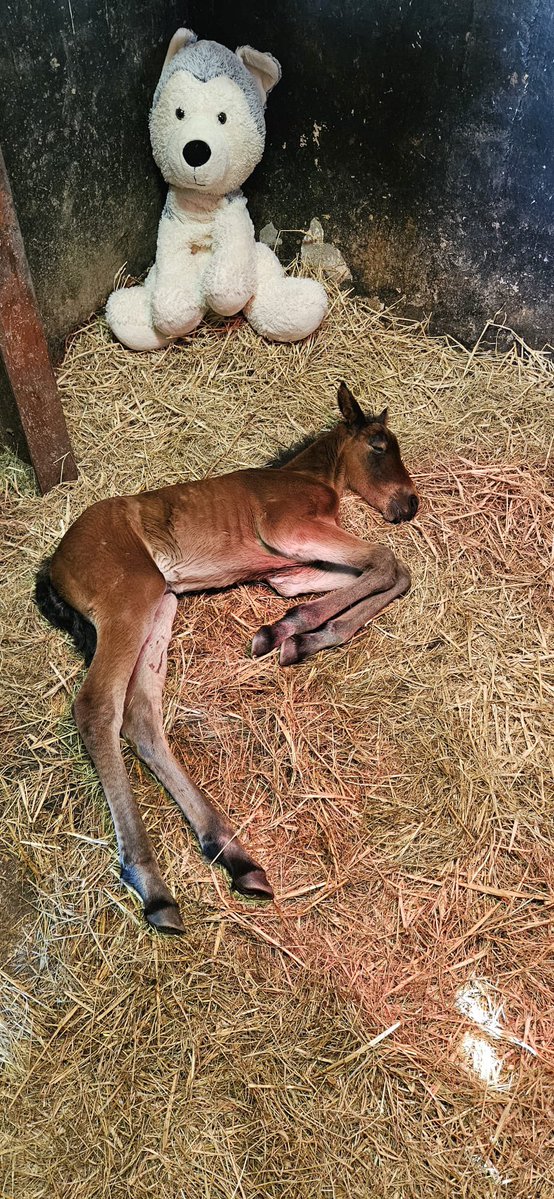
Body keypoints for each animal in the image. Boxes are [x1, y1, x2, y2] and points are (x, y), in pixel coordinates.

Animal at [35, 383, 419, 933]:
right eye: (380, 446)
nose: (408, 504)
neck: (305, 476)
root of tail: (53, 565)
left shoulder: (288, 573)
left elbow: (387, 575)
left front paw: (292, 632)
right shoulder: (288, 529)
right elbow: (388, 561)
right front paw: (288, 633)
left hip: (160, 605)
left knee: (141, 717)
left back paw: (235, 856)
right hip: (130, 599)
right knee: (97, 708)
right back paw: (153, 886)